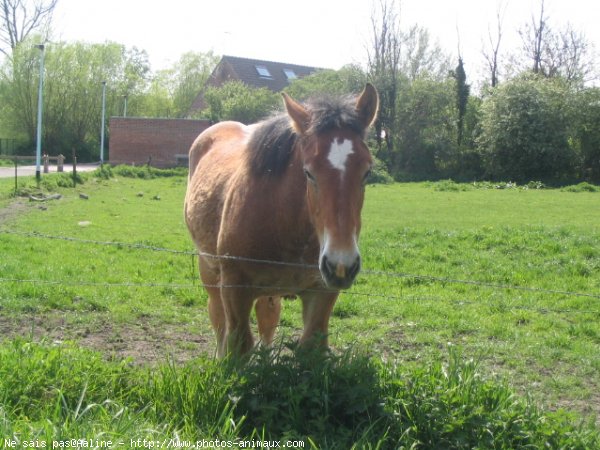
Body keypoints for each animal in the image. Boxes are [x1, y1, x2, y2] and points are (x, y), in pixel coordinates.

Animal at [185, 83, 378, 356]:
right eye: (308, 172)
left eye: (367, 172)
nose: (341, 265)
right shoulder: (234, 288)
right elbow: (238, 343)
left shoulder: (322, 291)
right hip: (209, 269)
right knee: (218, 317)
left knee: (268, 316)